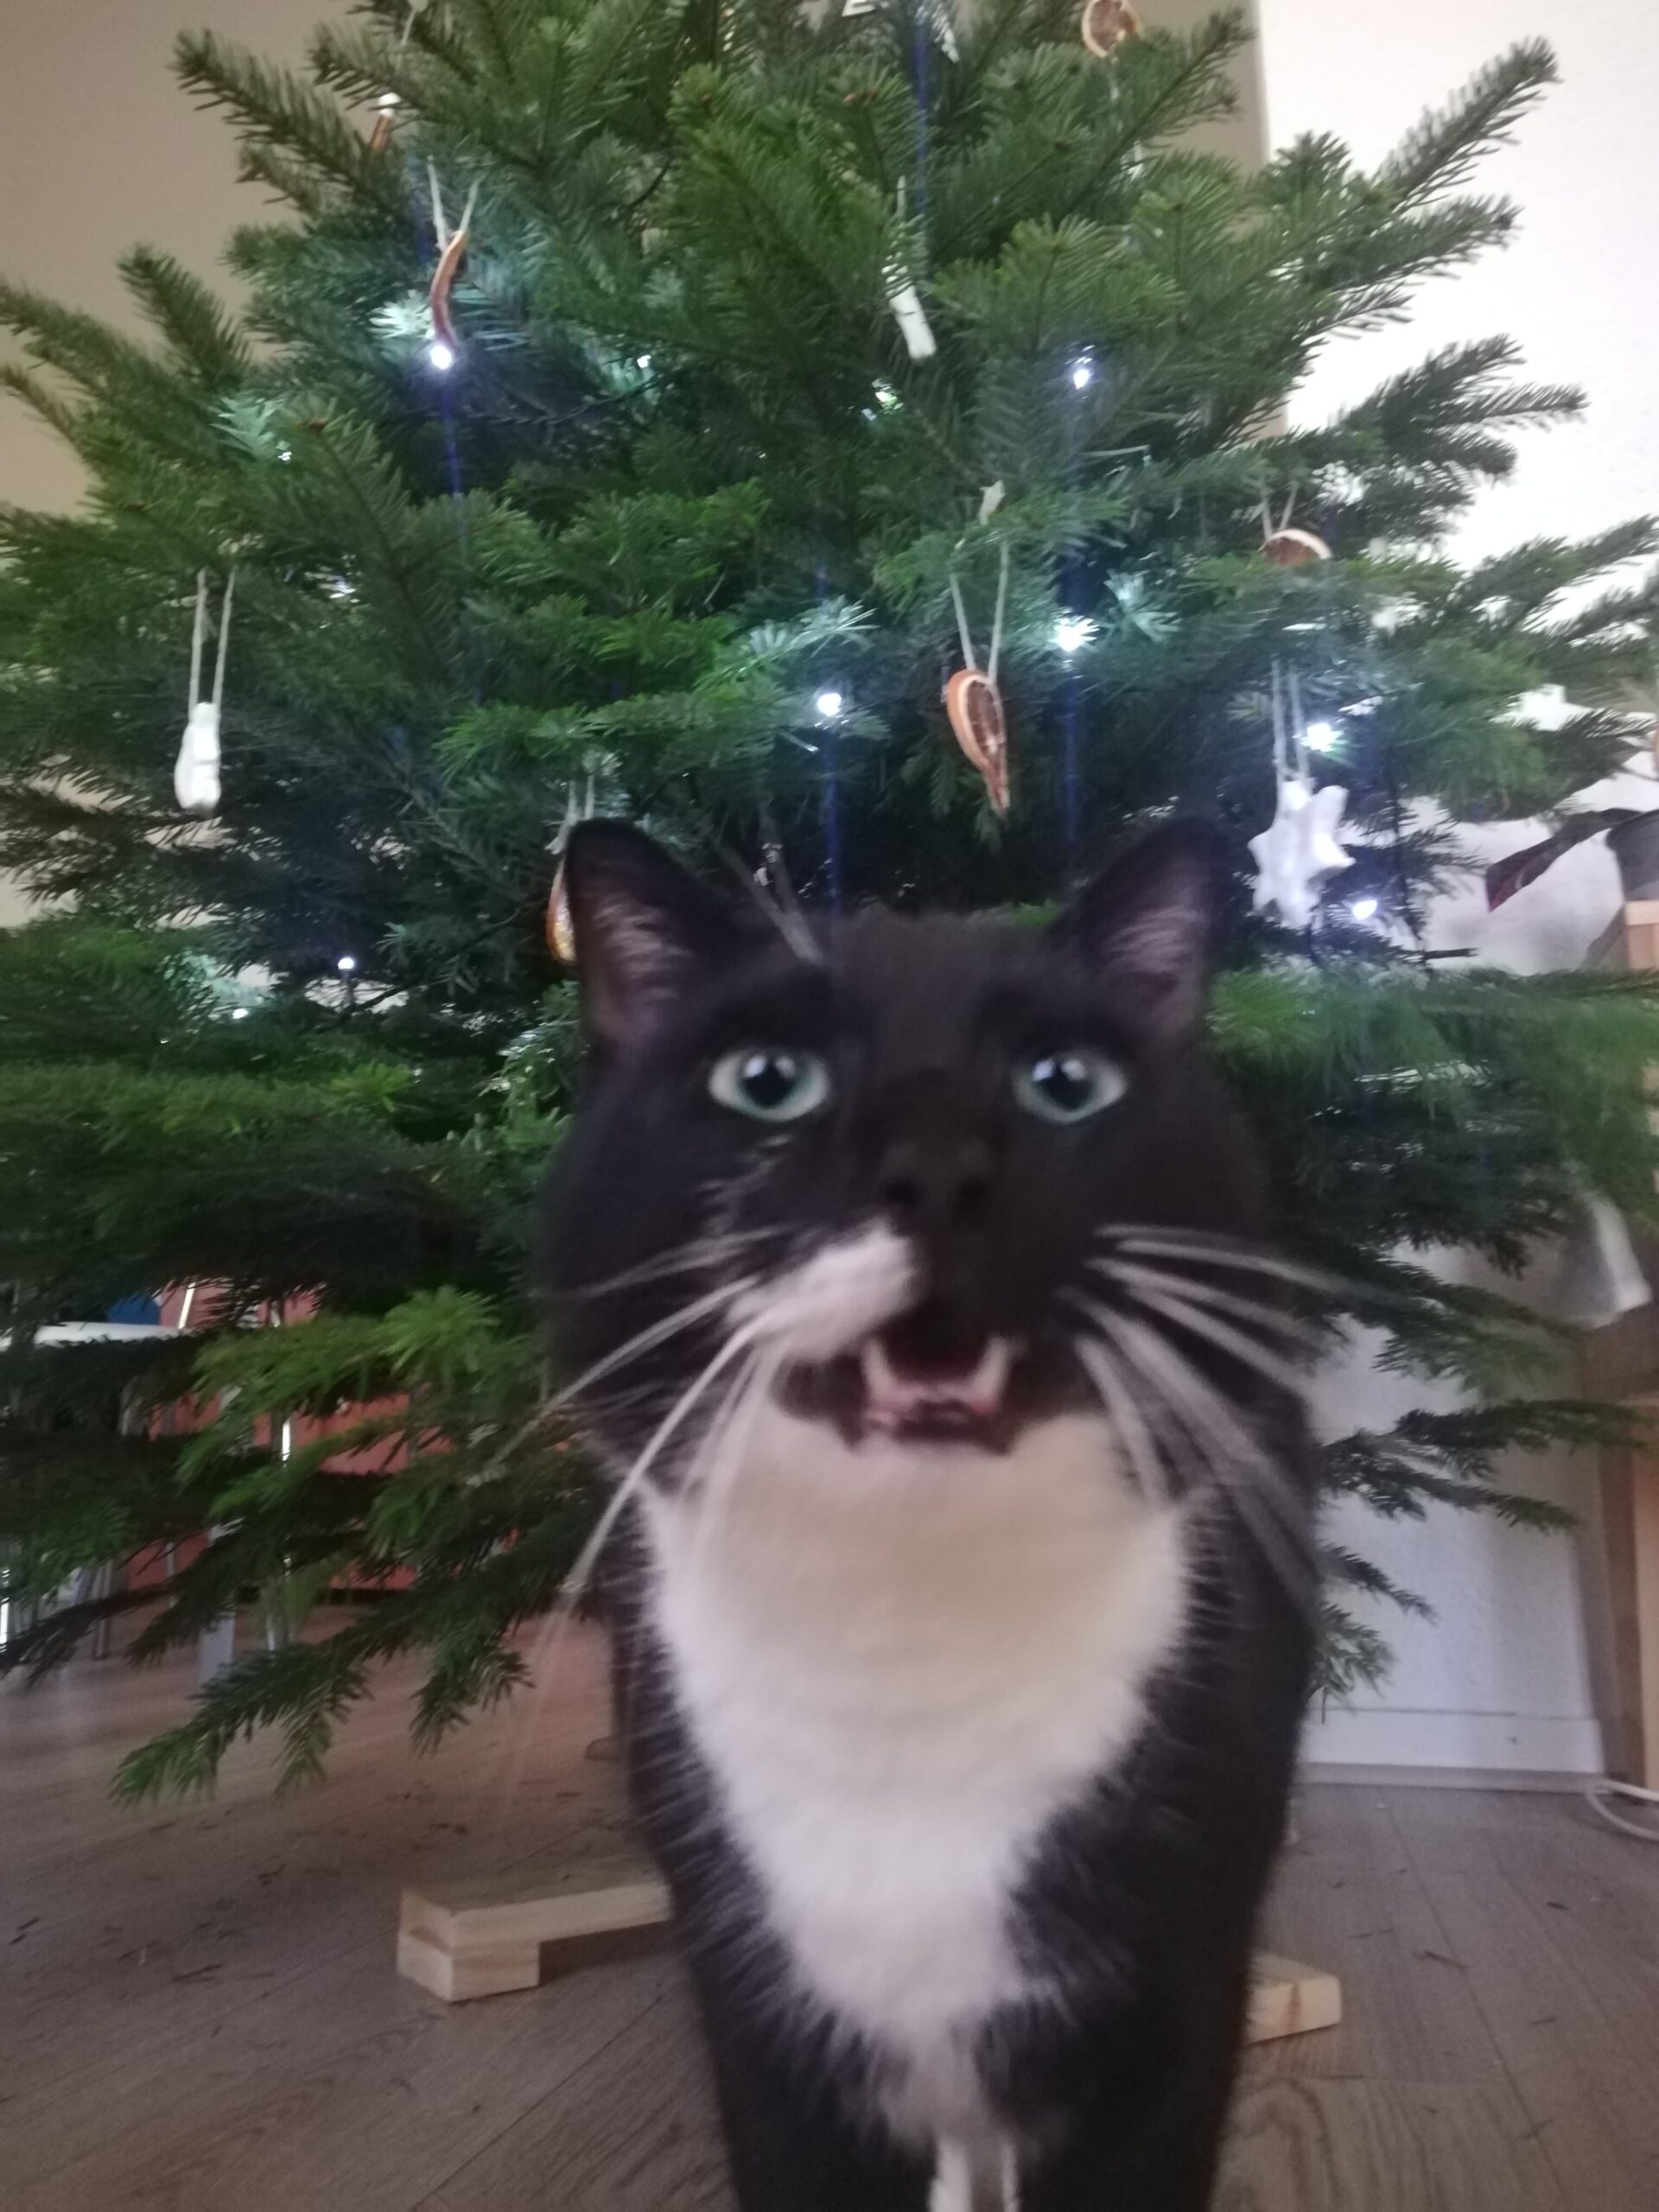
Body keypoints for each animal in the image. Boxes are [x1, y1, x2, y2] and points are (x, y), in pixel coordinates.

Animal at [546, 823, 1327, 2202]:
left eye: (1066, 1082)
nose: (940, 1166)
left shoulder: (1173, 1995)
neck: (903, 1632)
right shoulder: (764, 2021)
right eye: (766, 1080)